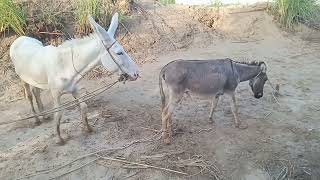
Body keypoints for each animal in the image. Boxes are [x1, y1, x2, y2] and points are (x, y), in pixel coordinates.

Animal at [9, 12, 138, 144]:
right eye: (119, 53)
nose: (136, 74)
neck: (66, 66)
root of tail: (19, 39)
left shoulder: (74, 89)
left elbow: (84, 106)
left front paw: (88, 128)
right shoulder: (56, 94)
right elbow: (59, 114)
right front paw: (59, 138)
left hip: (36, 78)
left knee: (36, 92)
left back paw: (44, 115)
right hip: (23, 78)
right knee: (29, 96)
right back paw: (36, 119)